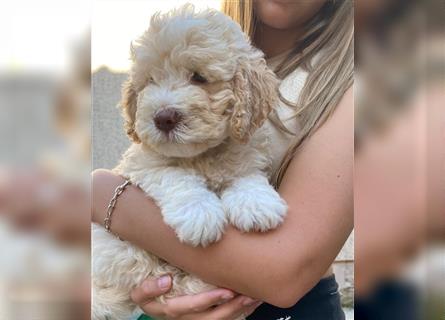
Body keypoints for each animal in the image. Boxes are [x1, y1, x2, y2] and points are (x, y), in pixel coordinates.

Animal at [93, 5, 286, 320]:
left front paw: (257, 204)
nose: (163, 118)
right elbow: (175, 177)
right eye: (150, 81)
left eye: (199, 77)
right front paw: (200, 214)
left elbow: (246, 175)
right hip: (117, 249)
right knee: (153, 275)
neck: (201, 156)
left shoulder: (244, 153)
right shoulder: (143, 164)